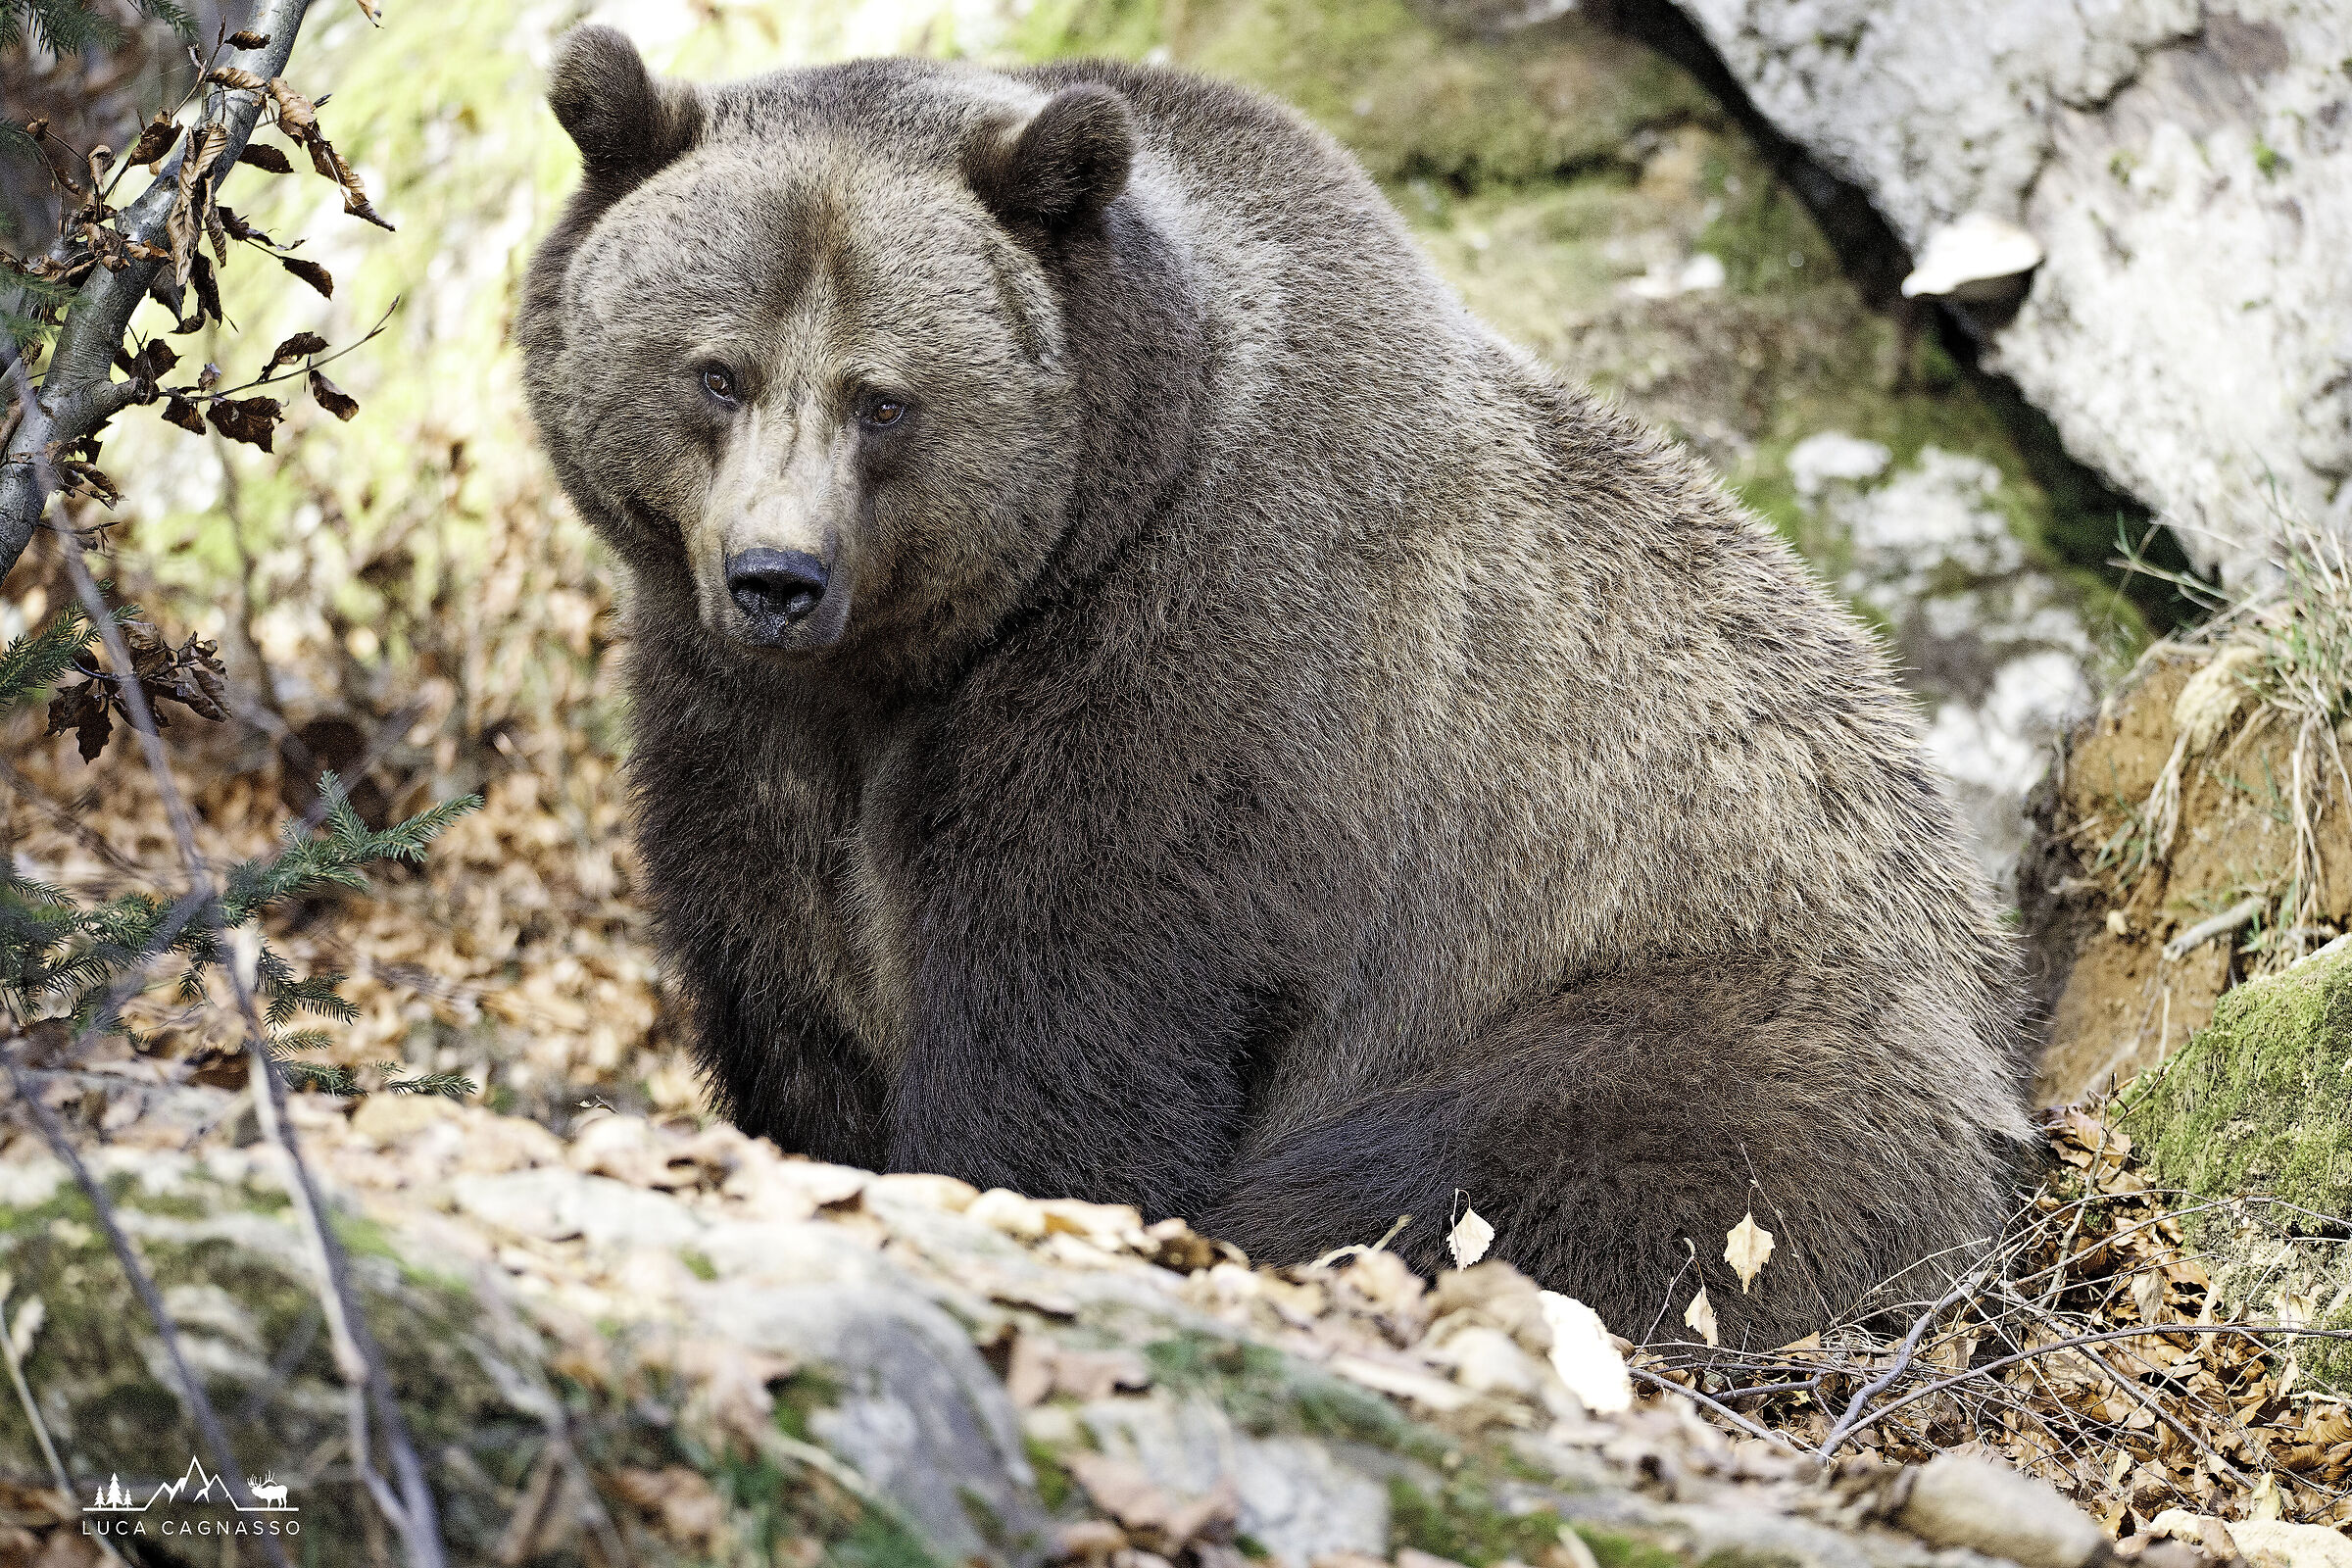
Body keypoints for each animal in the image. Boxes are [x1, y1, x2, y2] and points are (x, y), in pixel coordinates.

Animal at [519, 27, 2034, 1346]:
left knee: (1505, 1167)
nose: (778, 575)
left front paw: (1006, 1180)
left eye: (882, 398)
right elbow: (780, 961)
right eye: (717, 373)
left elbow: (1076, 1001)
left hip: (1701, 995)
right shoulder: (734, 707)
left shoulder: (1192, 661)